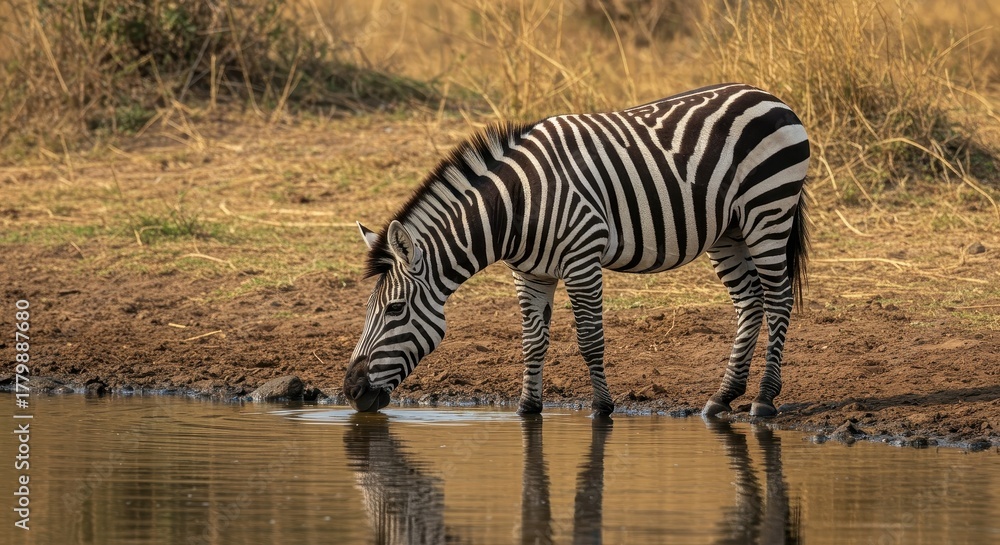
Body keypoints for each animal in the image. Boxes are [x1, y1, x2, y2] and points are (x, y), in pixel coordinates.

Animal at [343, 83, 809, 418]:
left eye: (395, 310)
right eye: (367, 310)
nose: (350, 391)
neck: (514, 207)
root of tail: (768, 96)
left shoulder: (583, 257)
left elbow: (589, 339)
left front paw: (602, 407)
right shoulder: (529, 272)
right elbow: (533, 342)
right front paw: (527, 409)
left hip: (768, 211)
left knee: (778, 300)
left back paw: (764, 400)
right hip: (728, 232)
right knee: (750, 303)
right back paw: (722, 397)